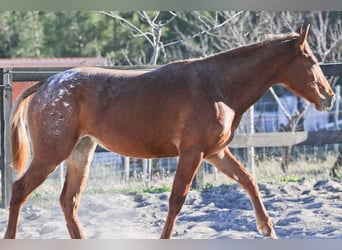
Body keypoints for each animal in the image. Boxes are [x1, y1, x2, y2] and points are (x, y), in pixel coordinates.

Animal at [3, 24, 334, 238]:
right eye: (312, 60)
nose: (329, 96)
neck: (218, 87)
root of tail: (45, 84)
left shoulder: (215, 153)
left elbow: (248, 180)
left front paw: (267, 229)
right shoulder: (192, 153)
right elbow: (177, 198)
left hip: (80, 153)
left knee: (68, 201)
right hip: (51, 155)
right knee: (19, 190)